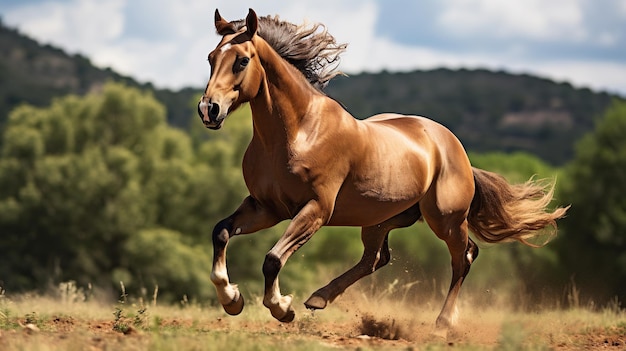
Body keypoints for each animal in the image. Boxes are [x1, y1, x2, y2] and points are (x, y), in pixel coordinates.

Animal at [197, 8, 568, 336]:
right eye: (211, 57)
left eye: (242, 60)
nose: (208, 109)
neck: (297, 132)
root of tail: (454, 148)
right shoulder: (266, 207)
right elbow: (221, 232)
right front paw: (231, 299)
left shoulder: (316, 209)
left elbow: (273, 258)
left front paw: (281, 308)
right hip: (382, 219)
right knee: (376, 258)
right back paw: (318, 298)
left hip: (445, 219)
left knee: (462, 257)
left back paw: (443, 323)